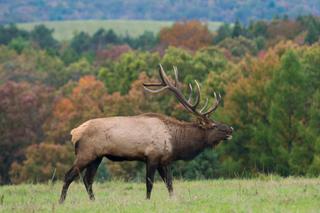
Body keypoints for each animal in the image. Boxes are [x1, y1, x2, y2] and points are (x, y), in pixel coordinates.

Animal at [58, 64, 232, 203]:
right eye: (214, 125)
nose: (231, 129)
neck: (175, 141)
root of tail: (74, 132)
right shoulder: (152, 156)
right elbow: (150, 183)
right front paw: (148, 201)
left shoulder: (164, 160)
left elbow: (169, 183)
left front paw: (173, 200)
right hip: (86, 153)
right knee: (69, 175)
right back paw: (61, 201)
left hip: (97, 157)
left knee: (88, 179)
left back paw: (94, 201)